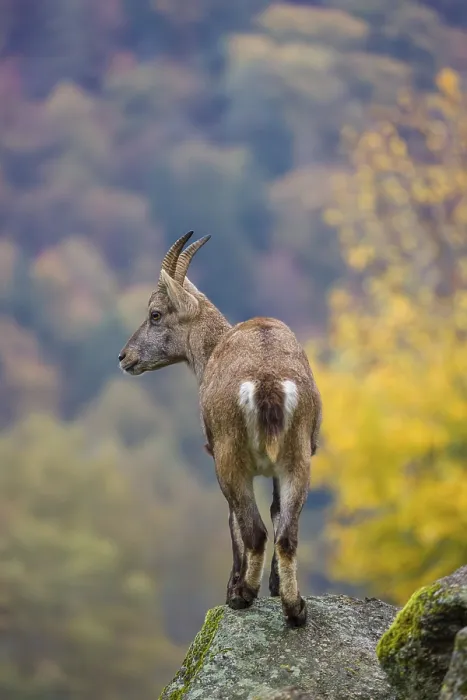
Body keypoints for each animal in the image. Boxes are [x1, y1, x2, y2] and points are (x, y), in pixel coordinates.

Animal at [118, 232, 322, 627]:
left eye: (155, 314)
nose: (124, 357)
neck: (212, 348)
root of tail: (268, 384)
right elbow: (276, 511)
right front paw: (275, 588)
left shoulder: (218, 455)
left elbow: (233, 523)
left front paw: (235, 587)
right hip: (298, 458)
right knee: (286, 533)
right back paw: (295, 609)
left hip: (231, 457)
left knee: (254, 530)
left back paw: (243, 595)